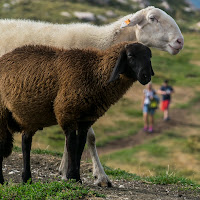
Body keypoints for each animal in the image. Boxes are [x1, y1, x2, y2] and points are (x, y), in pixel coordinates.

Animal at [0, 42, 154, 184]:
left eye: (149, 56)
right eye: (130, 56)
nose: (146, 76)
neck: (94, 72)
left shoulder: (85, 120)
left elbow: (80, 146)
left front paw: (76, 177)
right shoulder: (67, 114)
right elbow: (72, 145)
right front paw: (71, 177)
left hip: (29, 117)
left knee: (26, 143)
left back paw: (27, 179)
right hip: (3, 113)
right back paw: (3, 180)